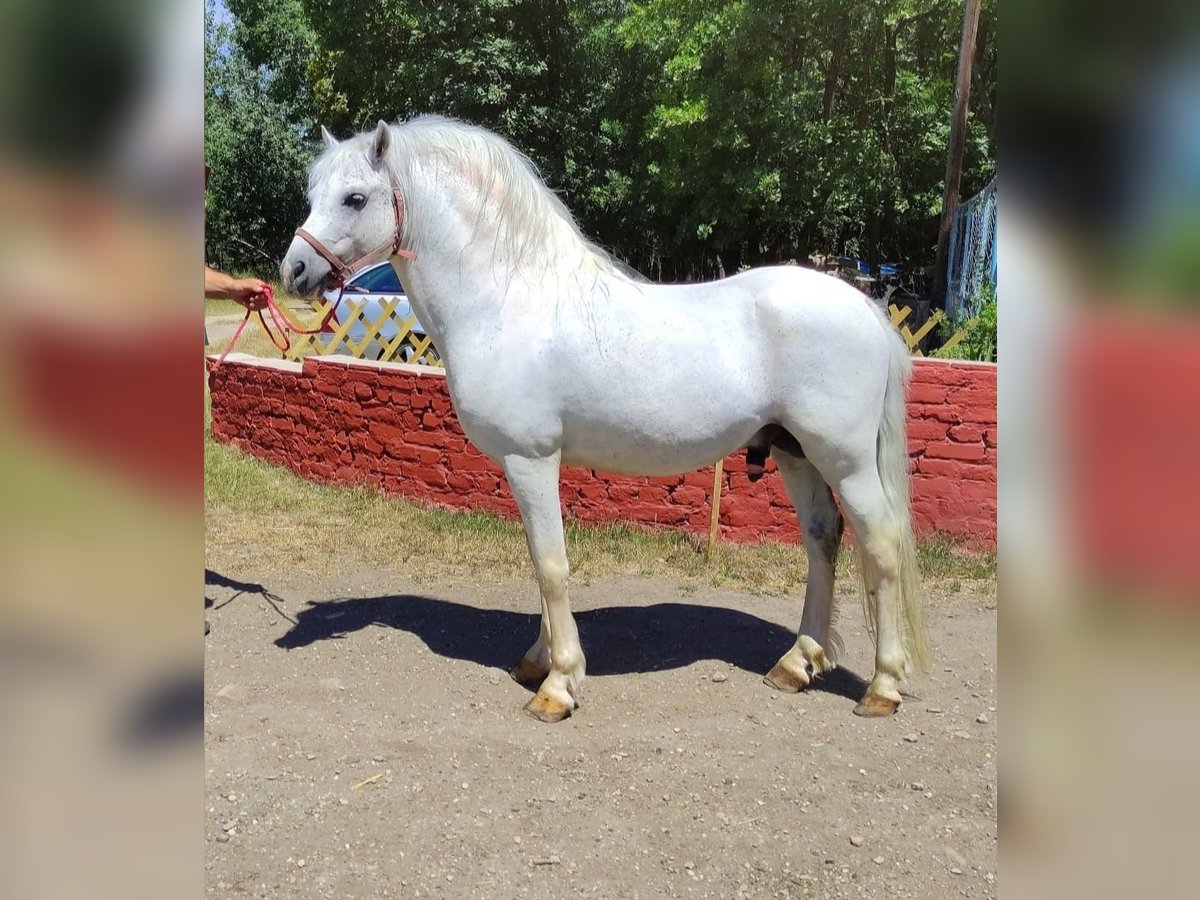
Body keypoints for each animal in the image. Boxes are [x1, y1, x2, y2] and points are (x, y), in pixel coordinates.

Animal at [280, 115, 929, 723]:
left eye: (355, 197)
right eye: (311, 191)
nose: (294, 271)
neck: (507, 300)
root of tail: (866, 308)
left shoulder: (531, 461)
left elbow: (551, 565)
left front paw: (558, 684)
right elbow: (539, 560)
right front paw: (537, 661)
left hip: (844, 460)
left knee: (881, 543)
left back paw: (882, 686)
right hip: (795, 453)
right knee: (823, 539)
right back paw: (797, 664)